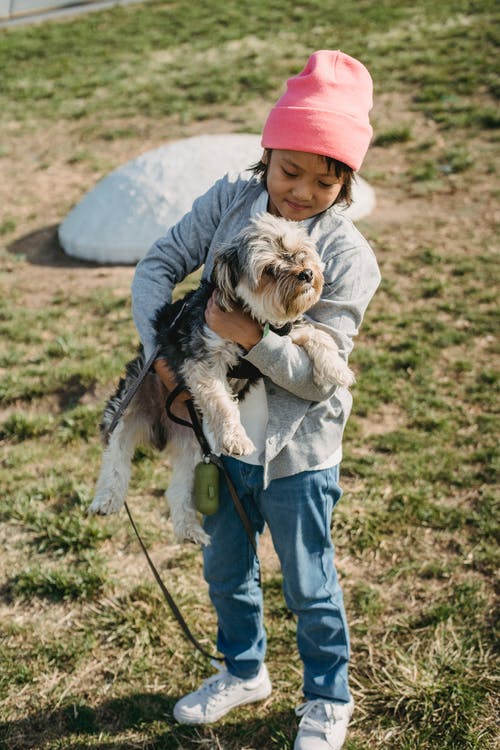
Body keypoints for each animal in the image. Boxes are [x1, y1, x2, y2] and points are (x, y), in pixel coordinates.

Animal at [90, 214, 356, 544]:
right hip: (129, 406)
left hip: (194, 443)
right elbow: (221, 404)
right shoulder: (204, 362)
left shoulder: (289, 330)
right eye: (269, 270)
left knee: (177, 490)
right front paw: (236, 438)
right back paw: (106, 500)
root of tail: (163, 421)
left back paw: (190, 531)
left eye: (299, 252)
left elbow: (320, 336)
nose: (307, 273)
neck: (254, 316)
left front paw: (337, 369)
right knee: (115, 455)